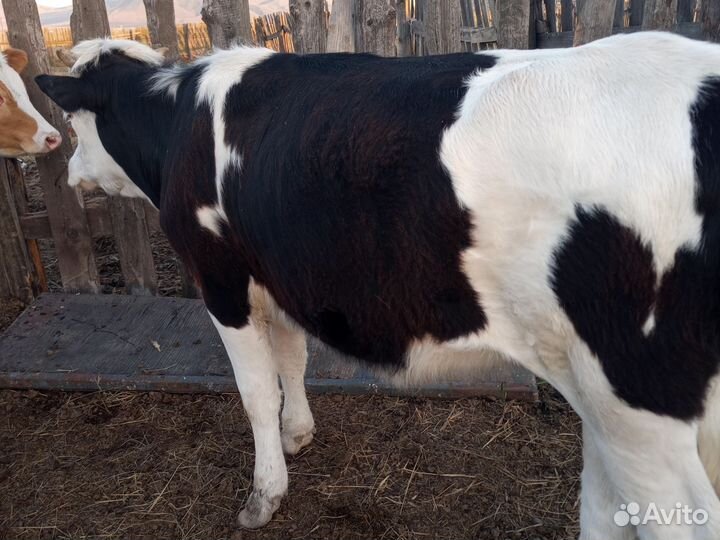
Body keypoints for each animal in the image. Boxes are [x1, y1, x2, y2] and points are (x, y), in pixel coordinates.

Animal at [35, 33, 720, 539]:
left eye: (71, 116)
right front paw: (298, 434)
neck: (178, 121)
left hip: (634, 397)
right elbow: (294, 360)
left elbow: (255, 392)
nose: (69, 171)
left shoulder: (223, 280)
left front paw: (264, 495)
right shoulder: (281, 273)